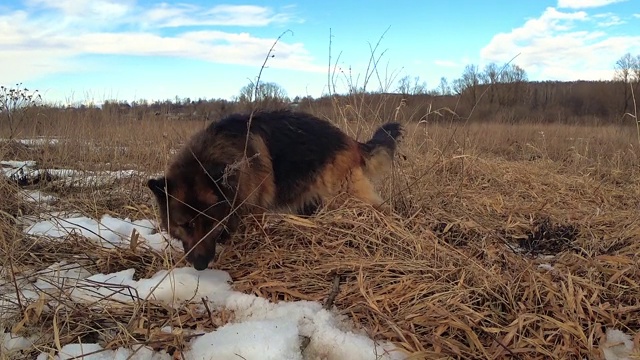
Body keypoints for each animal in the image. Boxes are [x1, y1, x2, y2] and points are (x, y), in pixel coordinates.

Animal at [148, 109, 402, 270]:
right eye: (186, 225)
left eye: (210, 223)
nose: (200, 266)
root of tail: (349, 140)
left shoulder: (253, 212)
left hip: (346, 196)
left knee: (381, 210)